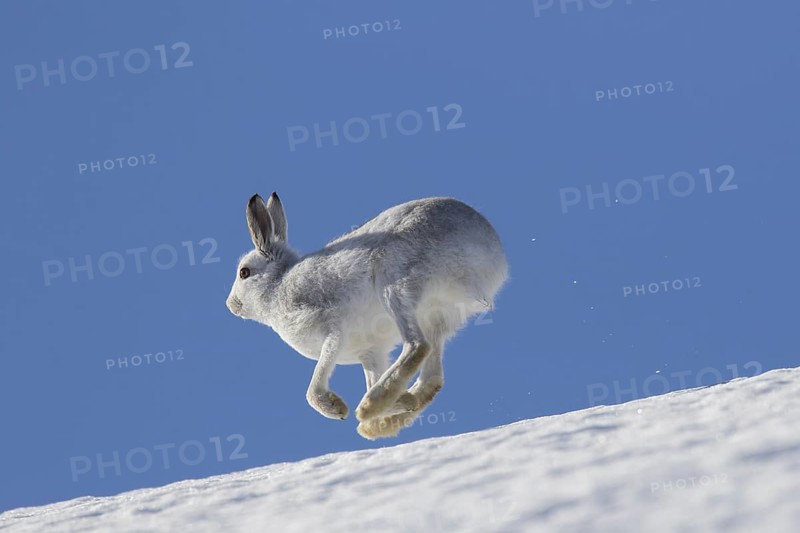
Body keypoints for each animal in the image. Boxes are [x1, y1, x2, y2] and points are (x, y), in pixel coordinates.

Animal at [226, 192, 508, 439]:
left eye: (244, 273)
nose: (230, 305)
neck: (278, 285)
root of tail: (490, 256)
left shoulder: (331, 330)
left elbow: (313, 388)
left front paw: (338, 408)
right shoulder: (370, 353)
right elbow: (373, 376)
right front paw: (403, 401)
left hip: (393, 284)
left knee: (417, 345)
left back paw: (369, 407)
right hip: (437, 316)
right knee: (432, 377)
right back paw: (382, 419)